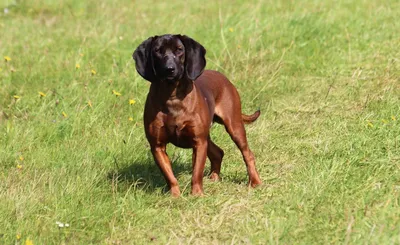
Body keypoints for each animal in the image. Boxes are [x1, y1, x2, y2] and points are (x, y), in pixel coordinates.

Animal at [133, 33, 260, 196]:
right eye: (157, 51)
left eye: (179, 50)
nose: (169, 69)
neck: (172, 96)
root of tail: (224, 78)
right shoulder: (157, 146)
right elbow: (170, 176)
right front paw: (175, 196)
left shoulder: (198, 142)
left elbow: (196, 173)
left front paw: (197, 195)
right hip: (207, 136)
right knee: (218, 153)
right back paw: (214, 178)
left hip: (234, 125)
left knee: (247, 154)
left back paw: (255, 182)